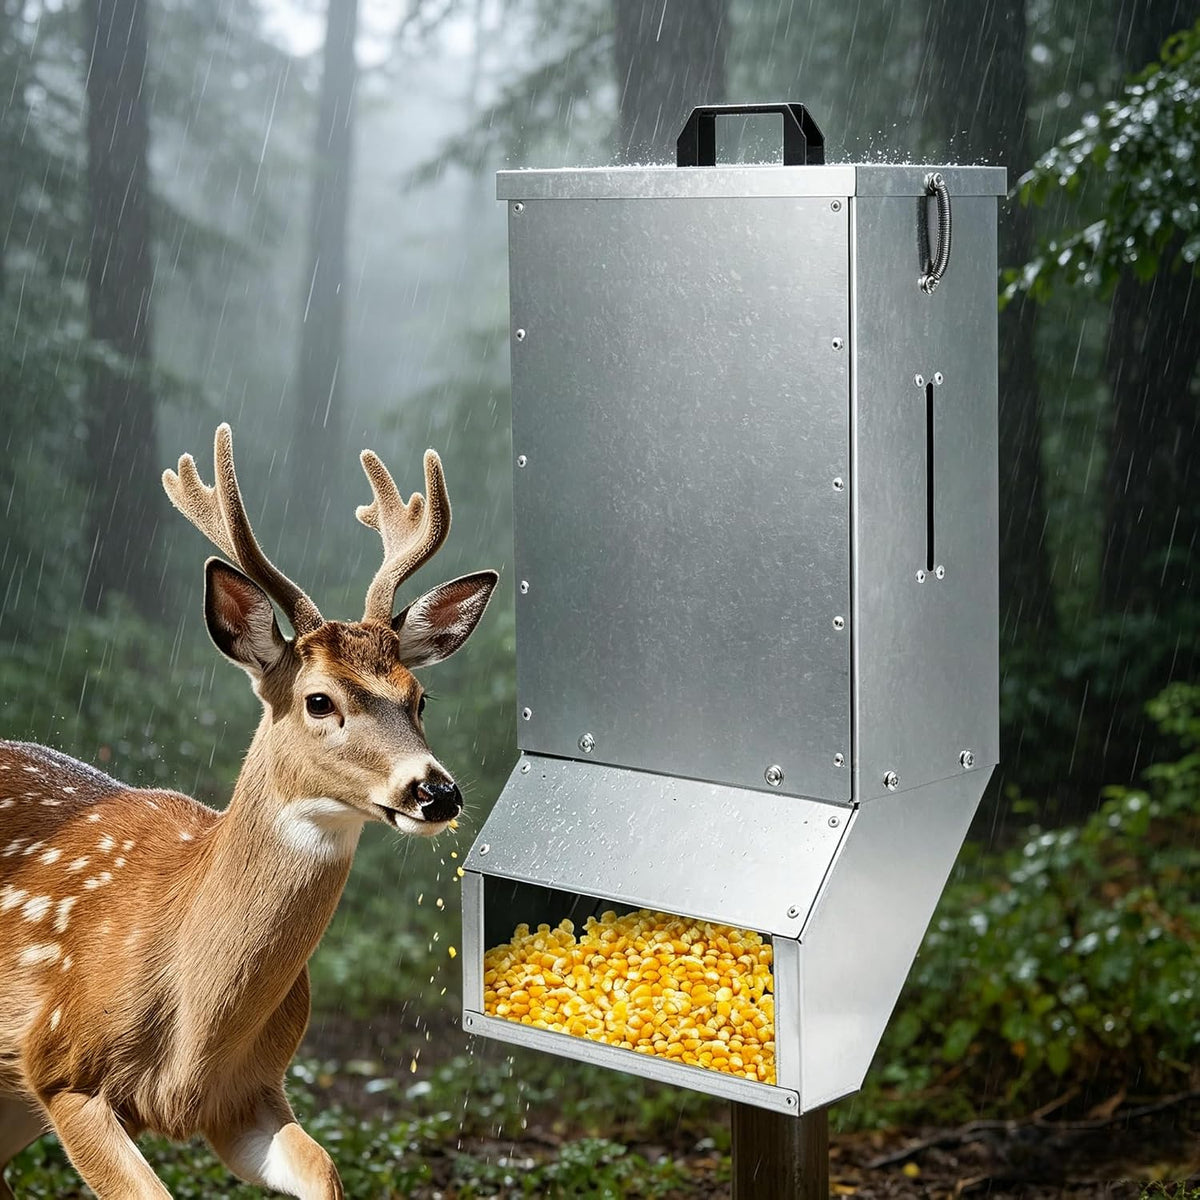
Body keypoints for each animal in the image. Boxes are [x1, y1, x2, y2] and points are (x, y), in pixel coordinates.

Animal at [0, 424, 497, 1199]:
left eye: (421, 698)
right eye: (319, 700)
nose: (436, 792)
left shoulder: (249, 1096)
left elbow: (325, 1170)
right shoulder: (58, 1065)